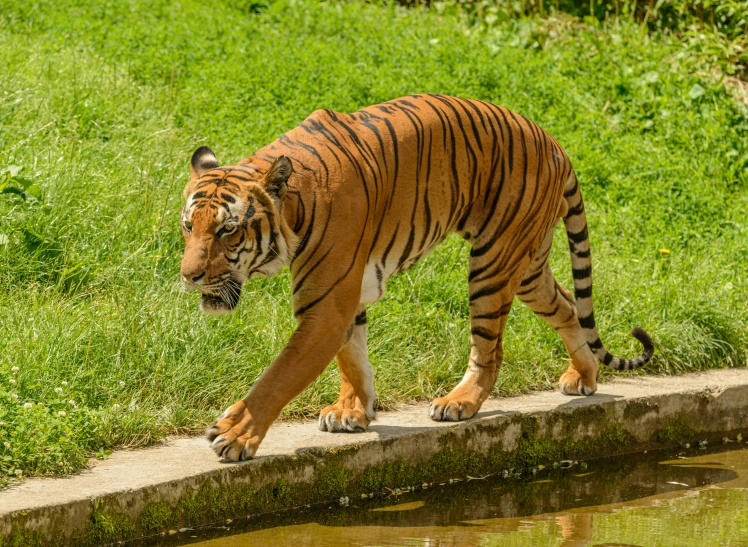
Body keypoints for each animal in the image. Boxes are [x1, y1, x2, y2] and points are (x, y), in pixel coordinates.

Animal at [178, 94, 652, 462]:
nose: (189, 276)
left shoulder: (326, 304)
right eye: (188, 226)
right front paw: (353, 411)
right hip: (528, 265)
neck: (295, 207)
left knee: (490, 349)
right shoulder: (347, 296)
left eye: (227, 230)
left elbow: (278, 377)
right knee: (568, 306)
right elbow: (352, 357)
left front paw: (235, 434)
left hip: (493, 262)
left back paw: (459, 402)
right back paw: (584, 377)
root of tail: (555, 142)